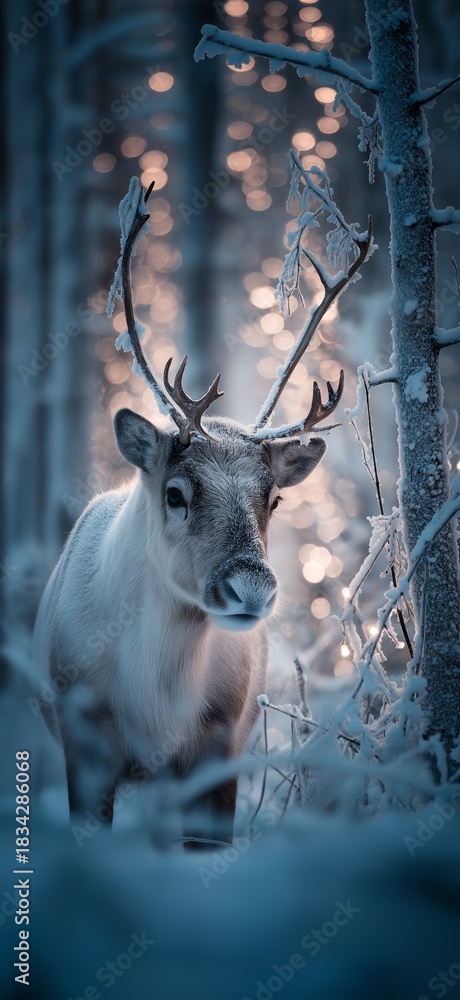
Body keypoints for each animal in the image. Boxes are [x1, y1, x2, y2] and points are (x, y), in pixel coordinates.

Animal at [34, 177, 372, 846]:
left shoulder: (217, 751)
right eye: (175, 493)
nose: (250, 588)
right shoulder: (85, 746)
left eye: (273, 498)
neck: (157, 698)